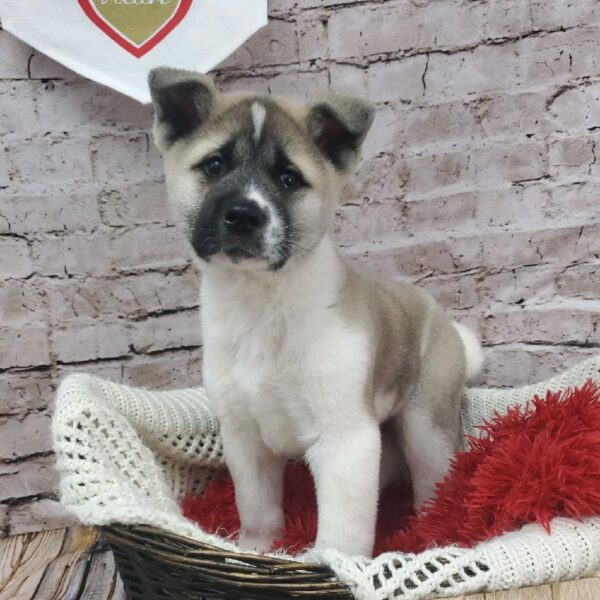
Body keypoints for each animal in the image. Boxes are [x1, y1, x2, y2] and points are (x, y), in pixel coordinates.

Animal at [150, 69, 482, 556]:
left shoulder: (344, 441)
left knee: (432, 487)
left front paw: (331, 563)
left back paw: (426, 536)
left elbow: (342, 535)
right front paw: (256, 552)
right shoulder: (245, 440)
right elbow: (258, 512)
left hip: (426, 428)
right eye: (214, 166)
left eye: (289, 178)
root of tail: (443, 321)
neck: (263, 305)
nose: (244, 215)